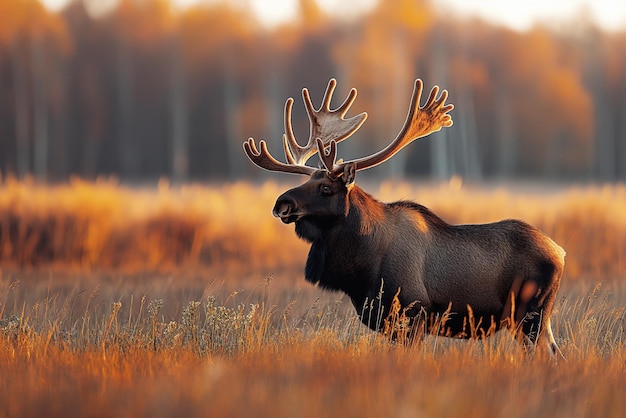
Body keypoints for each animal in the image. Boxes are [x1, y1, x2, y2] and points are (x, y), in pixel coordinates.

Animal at [241, 78, 564, 356]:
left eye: (325, 188)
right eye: (308, 181)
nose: (282, 204)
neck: (361, 264)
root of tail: (560, 252)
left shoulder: (415, 311)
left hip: (532, 313)